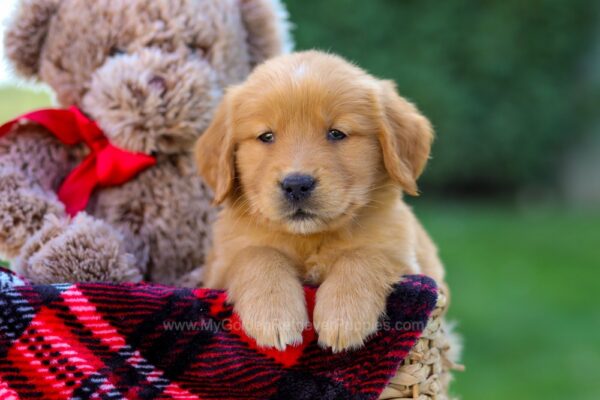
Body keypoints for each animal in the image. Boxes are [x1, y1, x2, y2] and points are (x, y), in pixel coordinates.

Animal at [195, 50, 442, 354]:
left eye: (336, 133)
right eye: (266, 136)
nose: (296, 184)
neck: (309, 239)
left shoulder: (405, 259)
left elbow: (364, 254)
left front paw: (344, 315)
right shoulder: (219, 267)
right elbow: (257, 254)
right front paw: (273, 314)